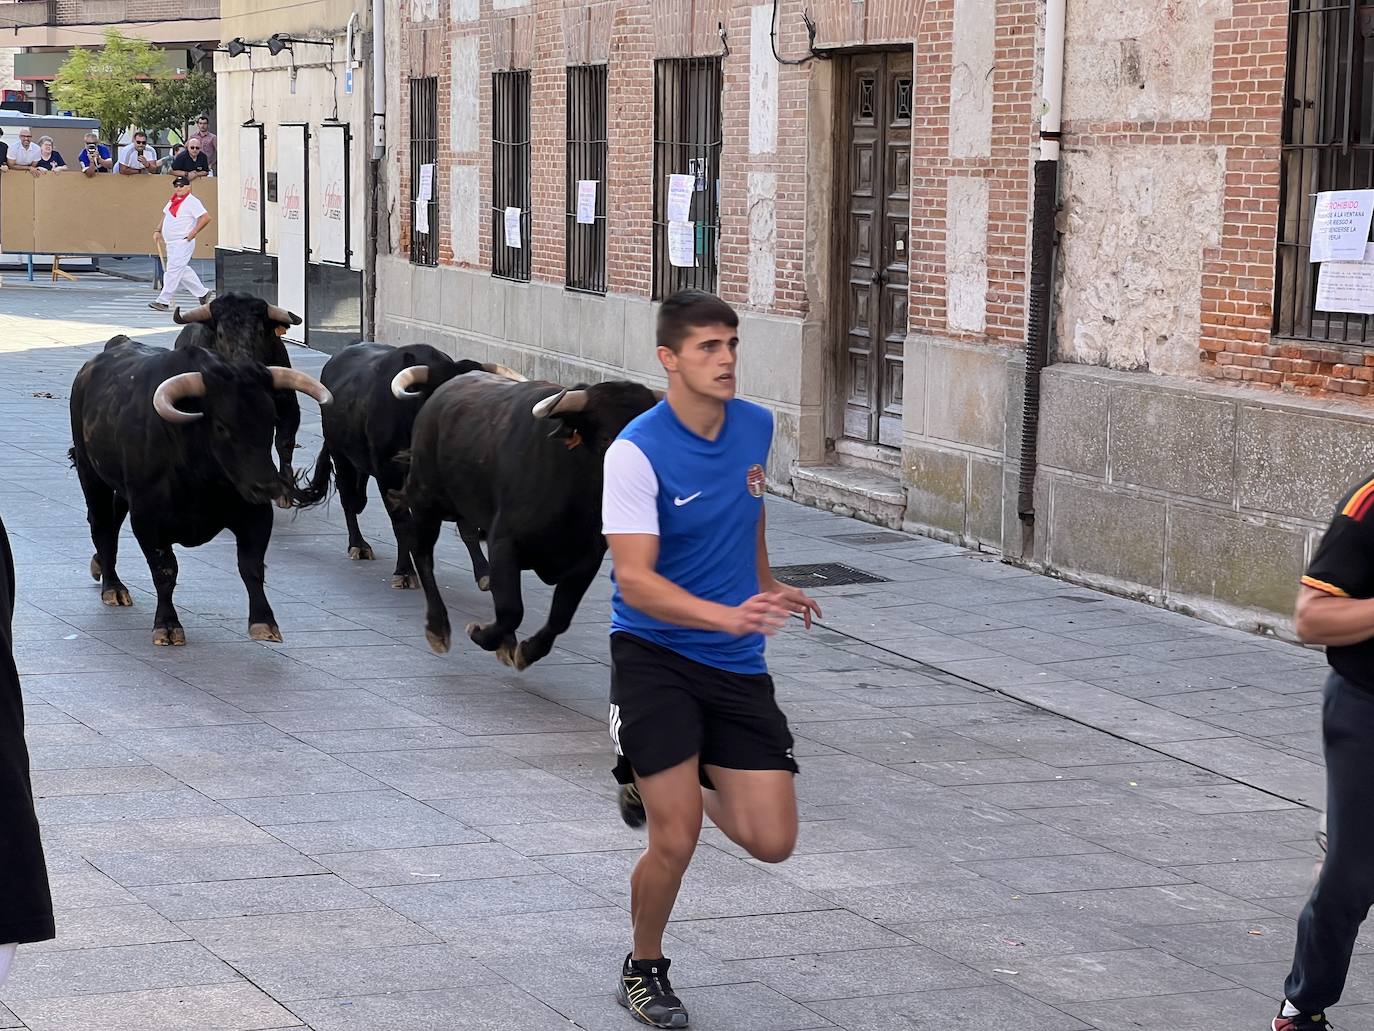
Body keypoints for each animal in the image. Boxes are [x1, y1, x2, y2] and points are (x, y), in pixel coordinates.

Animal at [72, 339, 332, 646]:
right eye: (221, 426)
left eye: (270, 419)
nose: (267, 486)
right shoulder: (148, 519)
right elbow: (165, 571)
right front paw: (167, 625)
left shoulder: (256, 514)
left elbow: (252, 566)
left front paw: (264, 622)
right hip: (91, 473)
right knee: (101, 522)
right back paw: (113, 586)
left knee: (112, 520)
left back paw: (102, 566)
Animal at [295, 343, 524, 588]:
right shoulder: (389, 476)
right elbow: (403, 524)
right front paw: (404, 572)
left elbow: (467, 528)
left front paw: (485, 573)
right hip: (340, 455)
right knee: (349, 498)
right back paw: (359, 545)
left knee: (358, 498)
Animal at [401, 371, 659, 670]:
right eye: (607, 438)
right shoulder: (504, 541)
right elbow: (512, 610)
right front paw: (481, 634)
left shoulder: (589, 559)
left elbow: (559, 617)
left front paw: (527, 650)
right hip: (425, 499)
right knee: (423, 555)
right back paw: (437, 628)